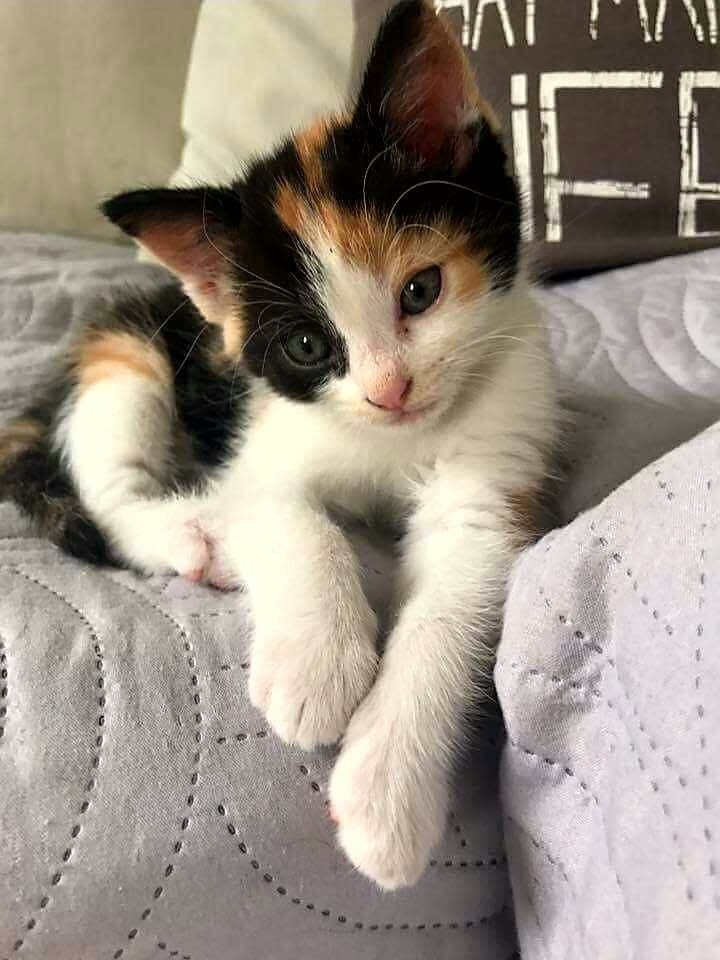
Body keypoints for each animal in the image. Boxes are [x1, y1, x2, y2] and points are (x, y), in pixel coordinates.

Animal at [0, 0, 556, 892]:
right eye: (305, 346)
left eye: (422, 290)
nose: (388, 390)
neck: (390, 439)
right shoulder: (259, 444)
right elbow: (291, 517)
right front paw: (317, 668)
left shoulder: (496, 473)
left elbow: (450, 606)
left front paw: (386, 795)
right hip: (125, 352)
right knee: (109, 484)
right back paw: (187, 533)